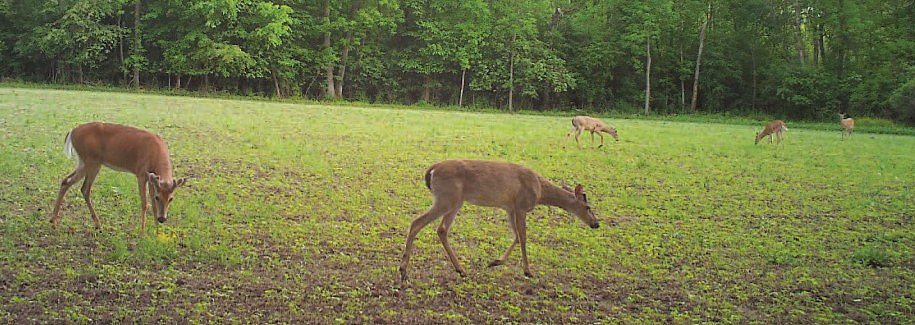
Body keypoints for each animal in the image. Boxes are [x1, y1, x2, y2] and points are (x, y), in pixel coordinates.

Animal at [49, 121, 189, 230]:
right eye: (158, 197)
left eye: (171, 198)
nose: (162, 219)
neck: (155, 154)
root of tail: (72, 132)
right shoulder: (141, 173)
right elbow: (145, 204)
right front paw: (142, 233)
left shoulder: (151, 179)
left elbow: (153, 206)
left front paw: (156, 233)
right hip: (91, 161)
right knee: (78, 186)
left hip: (85, 162)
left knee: (73, 184)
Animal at [400, 159, 600, 280]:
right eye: (588, 207)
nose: (596, 224)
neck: (540, 190)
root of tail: (431, 170)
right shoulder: (521, 206)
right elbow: (523, 237)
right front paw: (528, 271)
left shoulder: (510, 208)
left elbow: (517, 236)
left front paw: (495, 262)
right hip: (446, 198)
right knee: (417, 222)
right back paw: (403, 270)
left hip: (455, 202)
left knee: (441, 229)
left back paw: (460, 269)